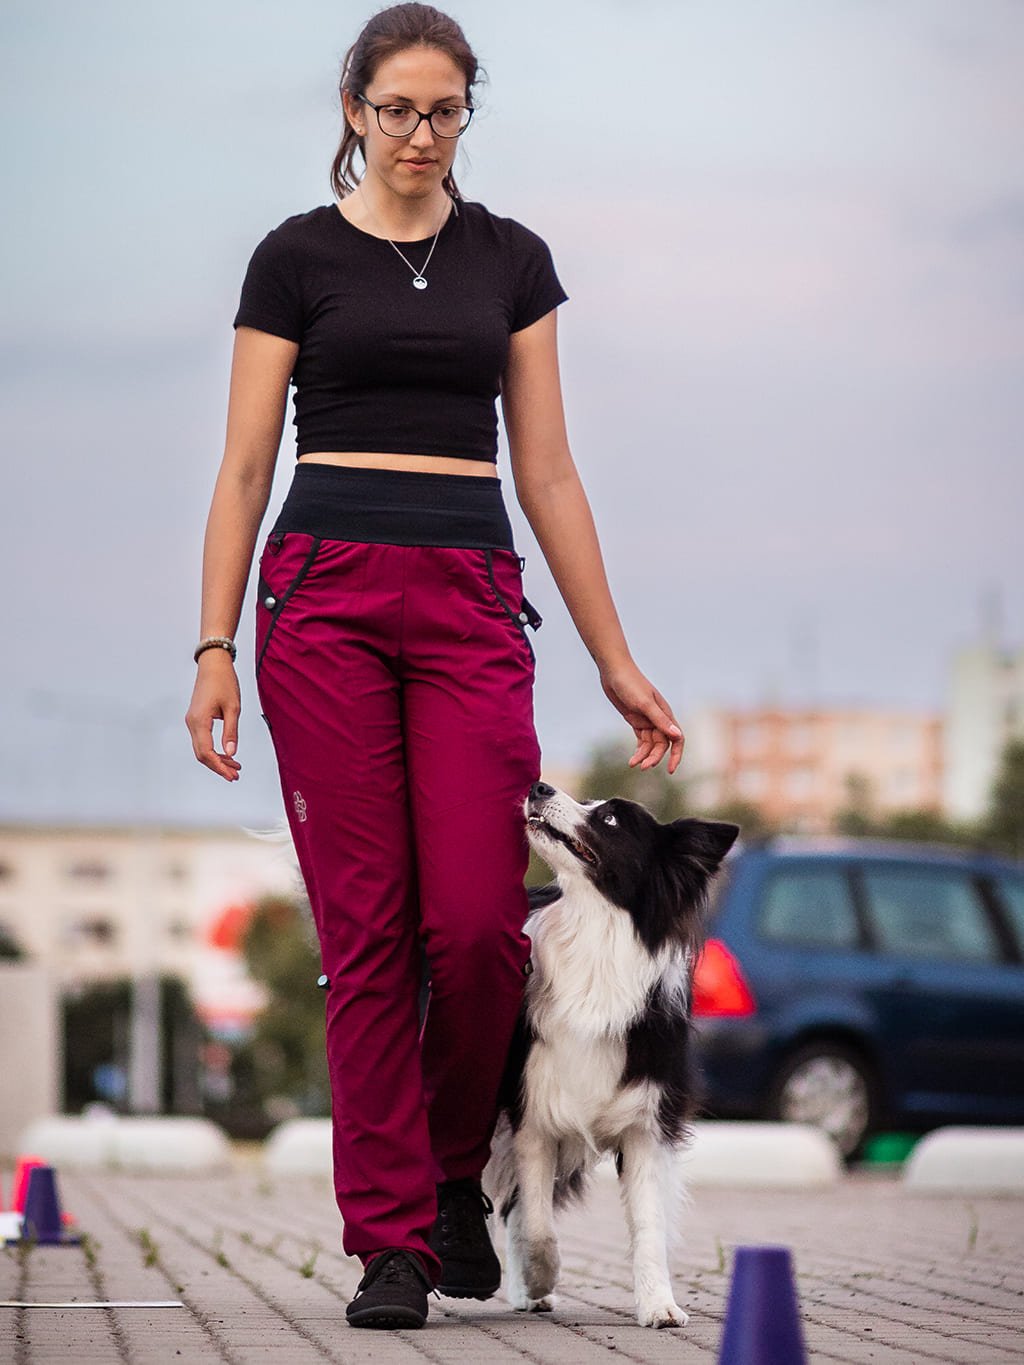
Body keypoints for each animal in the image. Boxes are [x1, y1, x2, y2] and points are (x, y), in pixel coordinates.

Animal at [486, 786, 737, 1326]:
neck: (594, 938)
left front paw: (659, 1304)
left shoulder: (647, 1121)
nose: (539, 787)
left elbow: (648, 1225)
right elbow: (537, 1224)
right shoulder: (532, 1114)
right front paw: (541, 1275)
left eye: (612, 819)